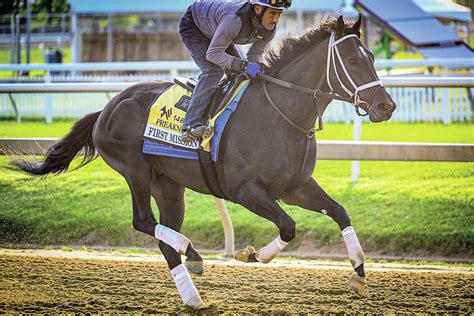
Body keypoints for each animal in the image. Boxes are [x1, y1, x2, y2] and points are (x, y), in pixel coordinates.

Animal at [12, 15, 396, 308]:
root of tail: (107, 107)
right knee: (143, 221)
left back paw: (193, 290)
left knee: (163, 235)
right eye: (352, 60)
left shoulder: (295, 186)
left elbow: (340, 212)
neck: (281, 114)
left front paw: (359, 275)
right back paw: (190, 253)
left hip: (168, 185)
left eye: (372, 57)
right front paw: (251, 255)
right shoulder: (245, 190)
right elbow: (288, 226)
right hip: (134, 169)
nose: (386, 106)